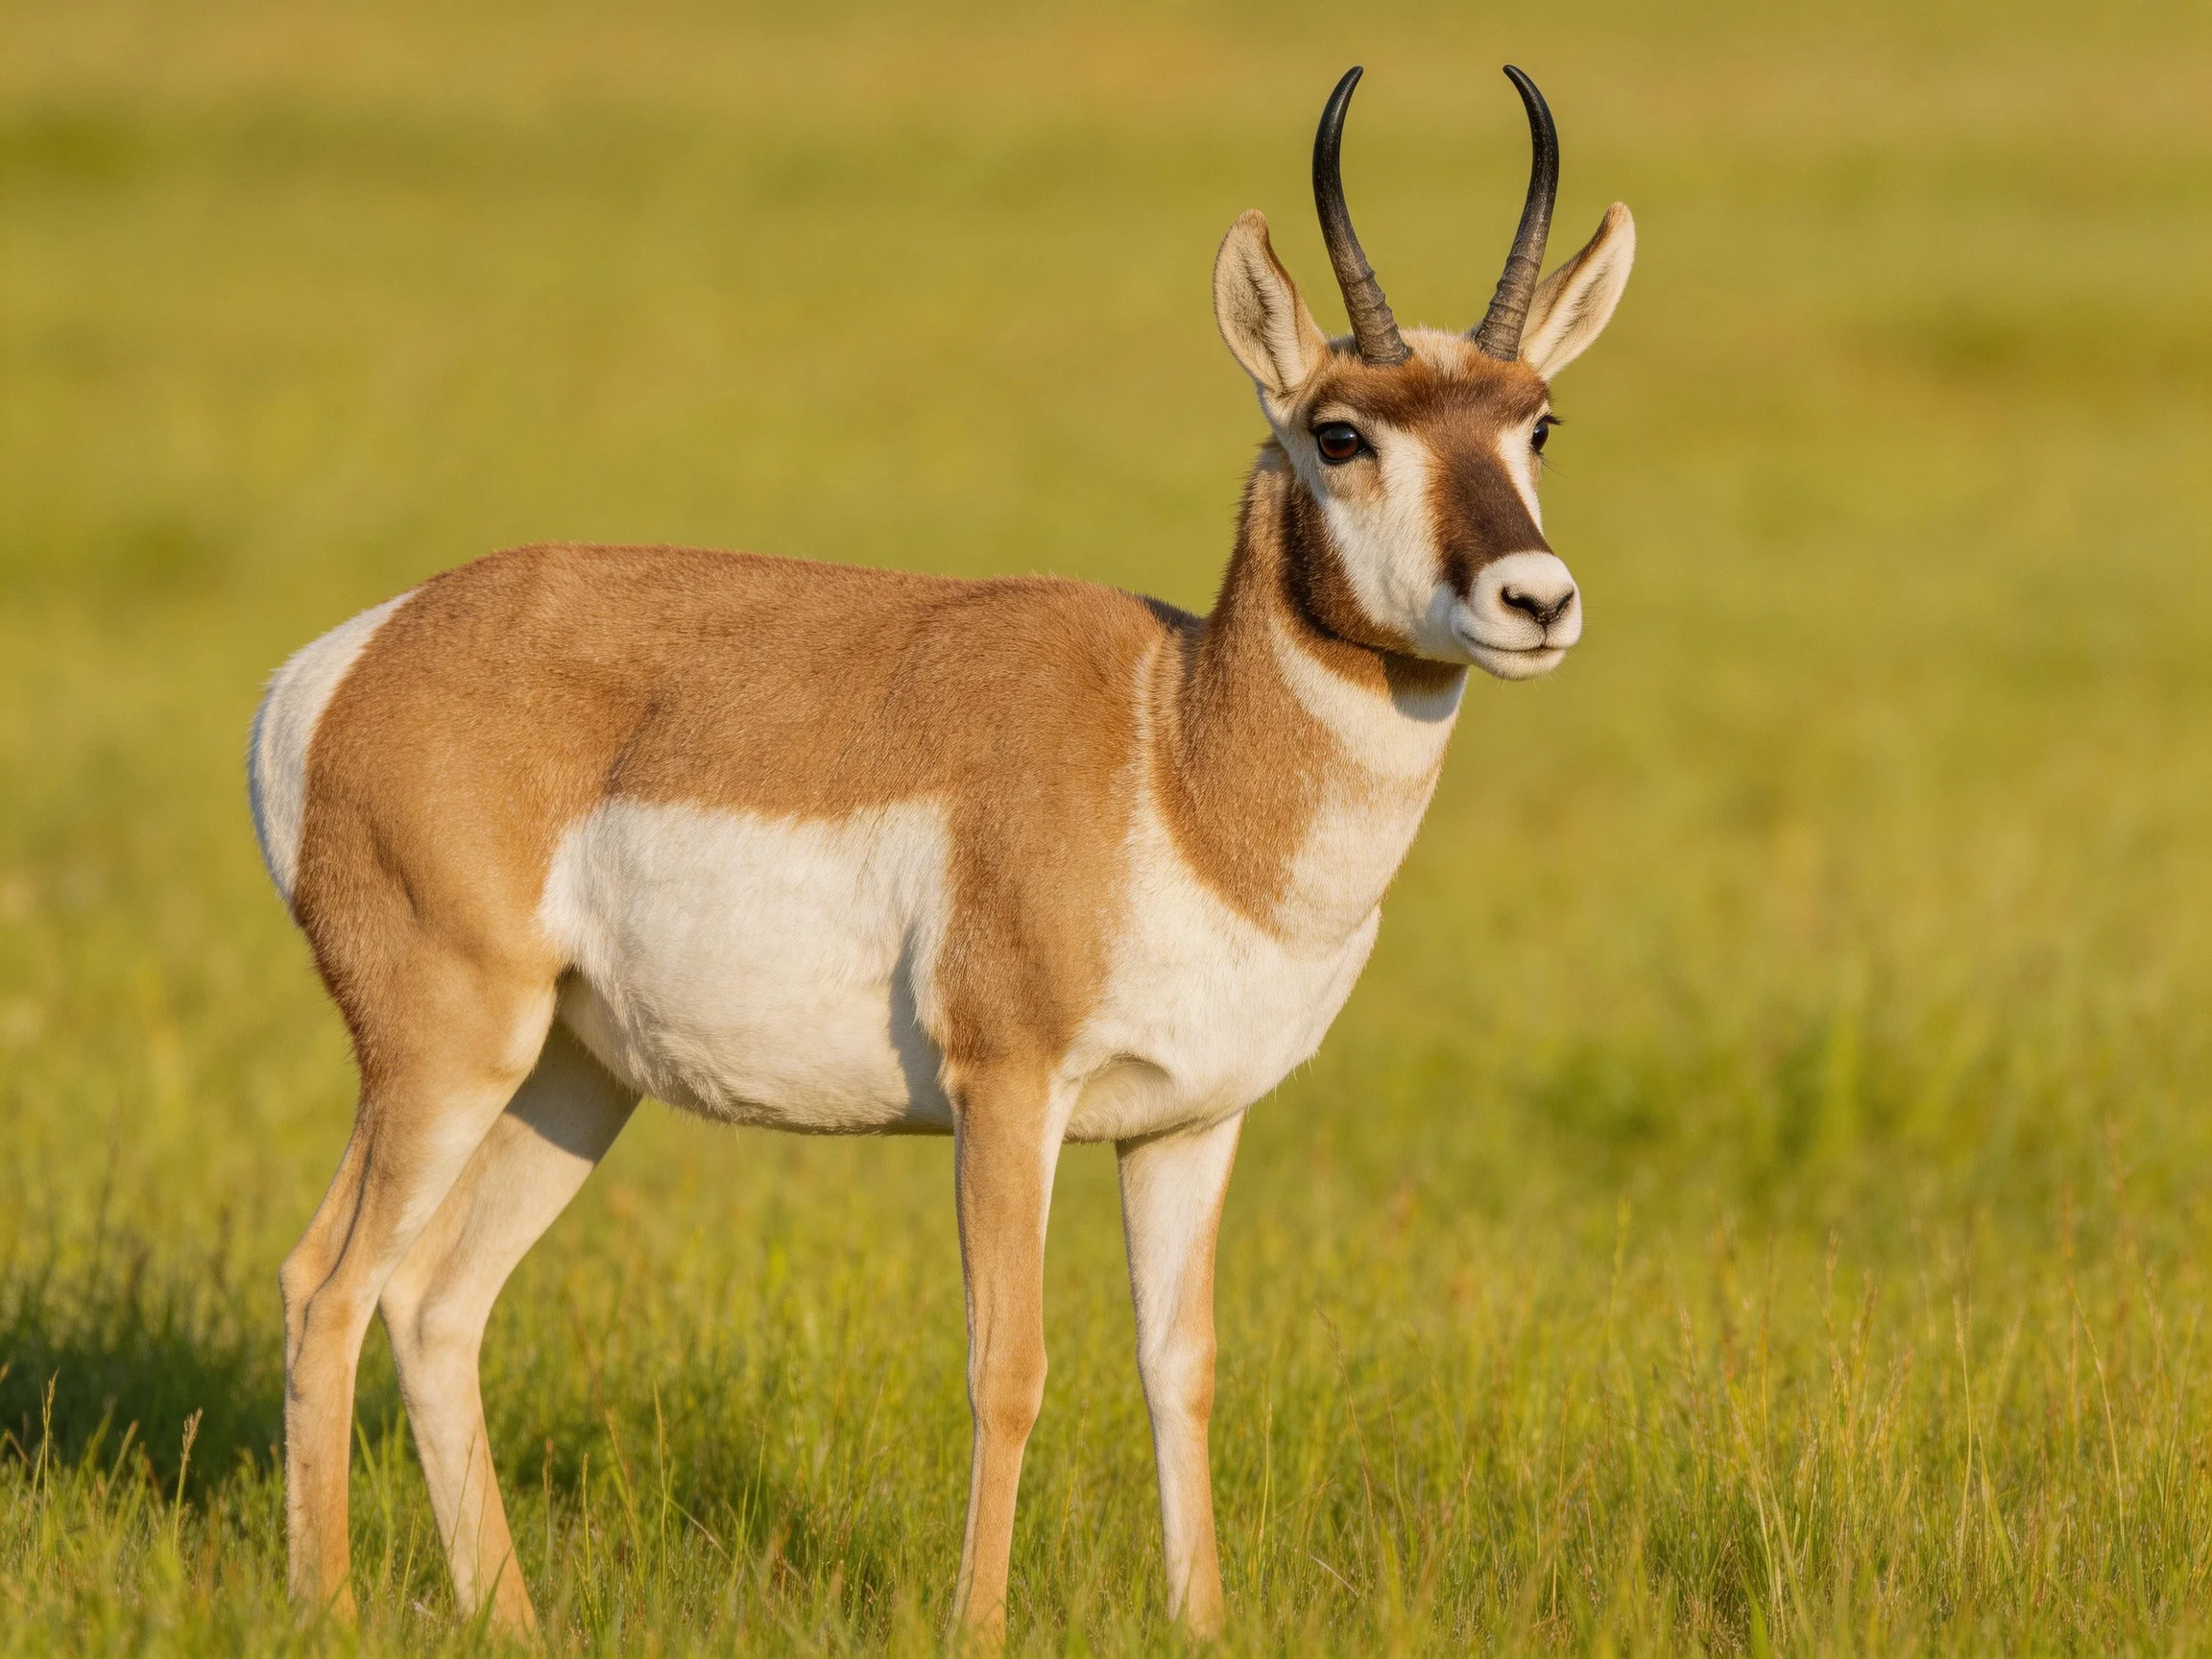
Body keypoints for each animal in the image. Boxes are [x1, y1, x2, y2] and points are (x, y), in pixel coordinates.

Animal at [249, 64, 1634, 1639]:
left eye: (1538, 422)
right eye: (1342, 433)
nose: (1535, 599)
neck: (1175, 750)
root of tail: (344, 662)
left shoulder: (1190, 1122)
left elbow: (1183, 1372)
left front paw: (1202, 1624)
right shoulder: (1007, 1090)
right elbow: (1008, 1367)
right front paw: (979, 1626)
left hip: (572, 1081)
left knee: (435, 1302)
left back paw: (514, 1623)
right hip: (444, 1058)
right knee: (325, 1284)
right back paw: (323, 1610)